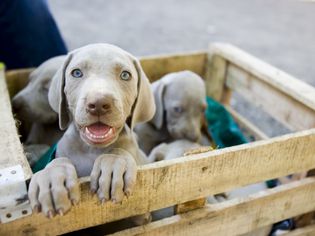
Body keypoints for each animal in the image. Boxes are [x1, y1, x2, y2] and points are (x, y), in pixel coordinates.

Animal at [27, 43, 156, 220]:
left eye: (125, 75)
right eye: (76, 73)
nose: (99, 103)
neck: (92, 149)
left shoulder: (141, 214)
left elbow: (119, 151)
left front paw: (113, 164)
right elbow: (58, 161)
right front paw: (52, 177)